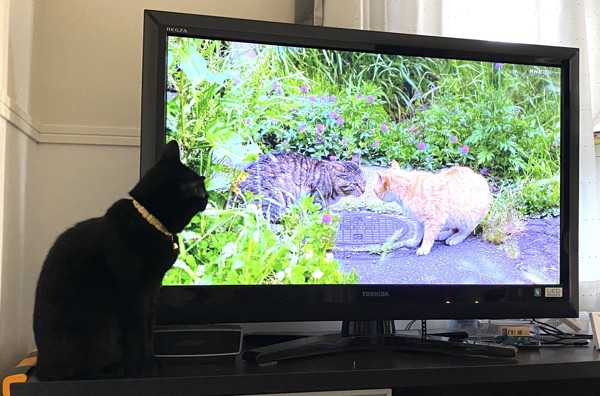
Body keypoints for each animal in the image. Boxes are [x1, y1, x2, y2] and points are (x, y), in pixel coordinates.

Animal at [32, 142, 207, 380]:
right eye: (201, 191)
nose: (208, 195)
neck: (150, 220)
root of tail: (41, 366)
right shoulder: (132, 296)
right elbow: (137, 335)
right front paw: (144, 368)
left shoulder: (151, 294)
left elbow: (149, 332)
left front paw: (153, 361)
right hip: (95, 334)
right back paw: (114, 368)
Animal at [233, 151, 366, 221]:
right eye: (355, 184)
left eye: (364, 182)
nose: (363, 190)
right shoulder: (315, 198)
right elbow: (318, 212)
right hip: (275, 198)